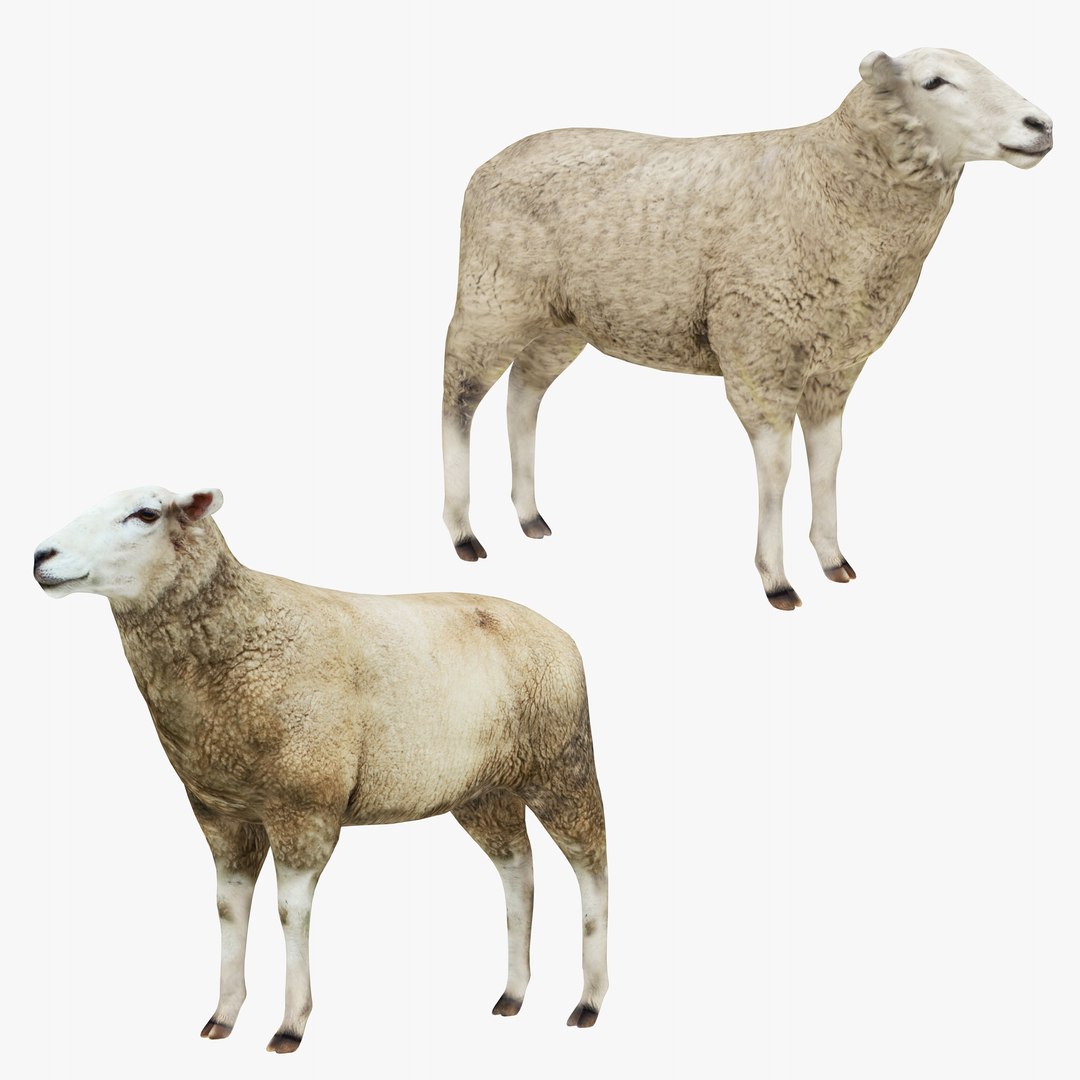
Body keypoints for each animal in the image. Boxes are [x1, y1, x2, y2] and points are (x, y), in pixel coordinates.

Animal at [34, 486, 608, 1052]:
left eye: (146, 514)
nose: (41, 557)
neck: (241, 633)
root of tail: (560, 633)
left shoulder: (304, 802)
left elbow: (290, 911)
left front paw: (290, 1025)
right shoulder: (221, 812)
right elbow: (227, 908)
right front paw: (223, 1017)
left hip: (563, 763)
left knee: (592, 862)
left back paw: (589, 1001)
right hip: (484, 791)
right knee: (518, 871)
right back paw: (513, 994)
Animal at [441, 47, 1052, 608]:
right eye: (934, 82)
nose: (1041, 125)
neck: (833, 180)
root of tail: (489, 164)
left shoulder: (835, 365)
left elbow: (828, 460)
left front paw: (832, 558)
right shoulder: (760, 352)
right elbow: (778, 470)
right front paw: (777, 579)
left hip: (558, 319)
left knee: (524, 394)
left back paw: (529, 516)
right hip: (491, 297)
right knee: (459, 397)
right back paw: (463, 532)